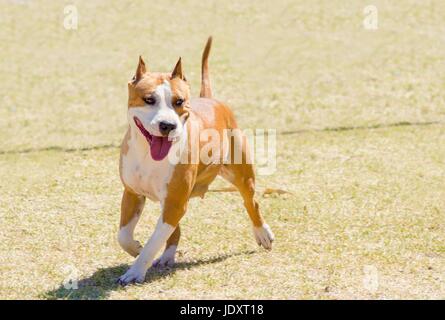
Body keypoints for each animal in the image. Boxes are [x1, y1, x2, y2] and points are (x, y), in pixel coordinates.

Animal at [116, 37, 272, 284]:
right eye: (149, 99)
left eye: (179, 101)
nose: (167, 125)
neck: (148, 154)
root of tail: (210, 99)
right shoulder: (133, 193)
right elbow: (123, 235)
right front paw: (136, 249)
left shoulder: (174, 202)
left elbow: (153, 242)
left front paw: (136, 270)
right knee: (173, 230)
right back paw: (167, 257)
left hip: (241, 175)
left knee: (251, 201)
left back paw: (263, 233)